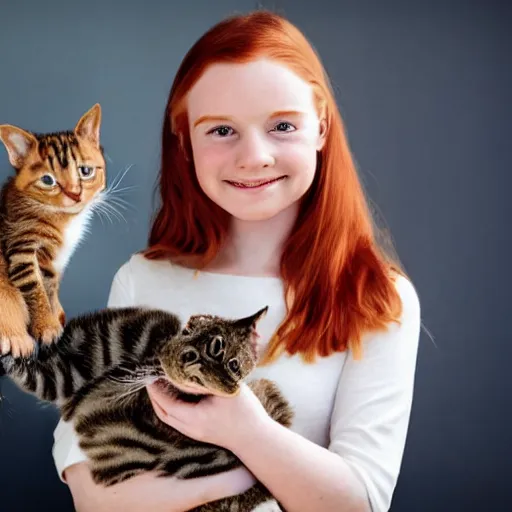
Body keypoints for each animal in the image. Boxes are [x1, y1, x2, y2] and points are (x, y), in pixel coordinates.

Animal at [0, 105, 106, 356]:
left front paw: (55, 318)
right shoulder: (21, 248)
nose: (75, 194)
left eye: (85, 171)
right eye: (48, 180)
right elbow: (35, 289)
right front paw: (46, 326)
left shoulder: (48, 261)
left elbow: (49, 286)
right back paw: (15, 337)